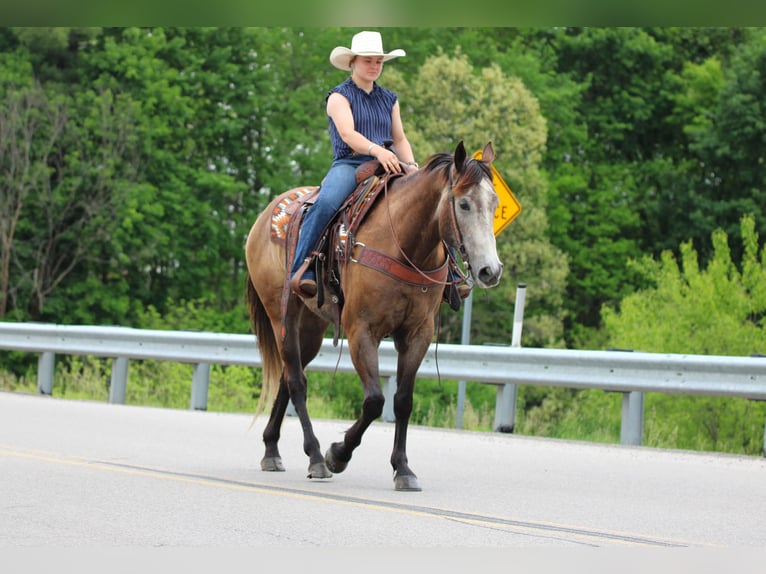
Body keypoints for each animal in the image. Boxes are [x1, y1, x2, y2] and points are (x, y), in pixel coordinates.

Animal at [244, 140, 503, 491]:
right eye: (463, 204)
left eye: (494, 203)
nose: (491, 270)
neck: (405, 244)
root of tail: (265, 217)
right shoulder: (361, 332)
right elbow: (375, 401)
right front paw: (338, 454)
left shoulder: (417, 335)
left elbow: (403, 401)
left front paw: (403, 469)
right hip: (281, 317)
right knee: (297, 382)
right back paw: (315, 458)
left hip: (311, 326)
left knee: (288, 377)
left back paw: (271, 448)